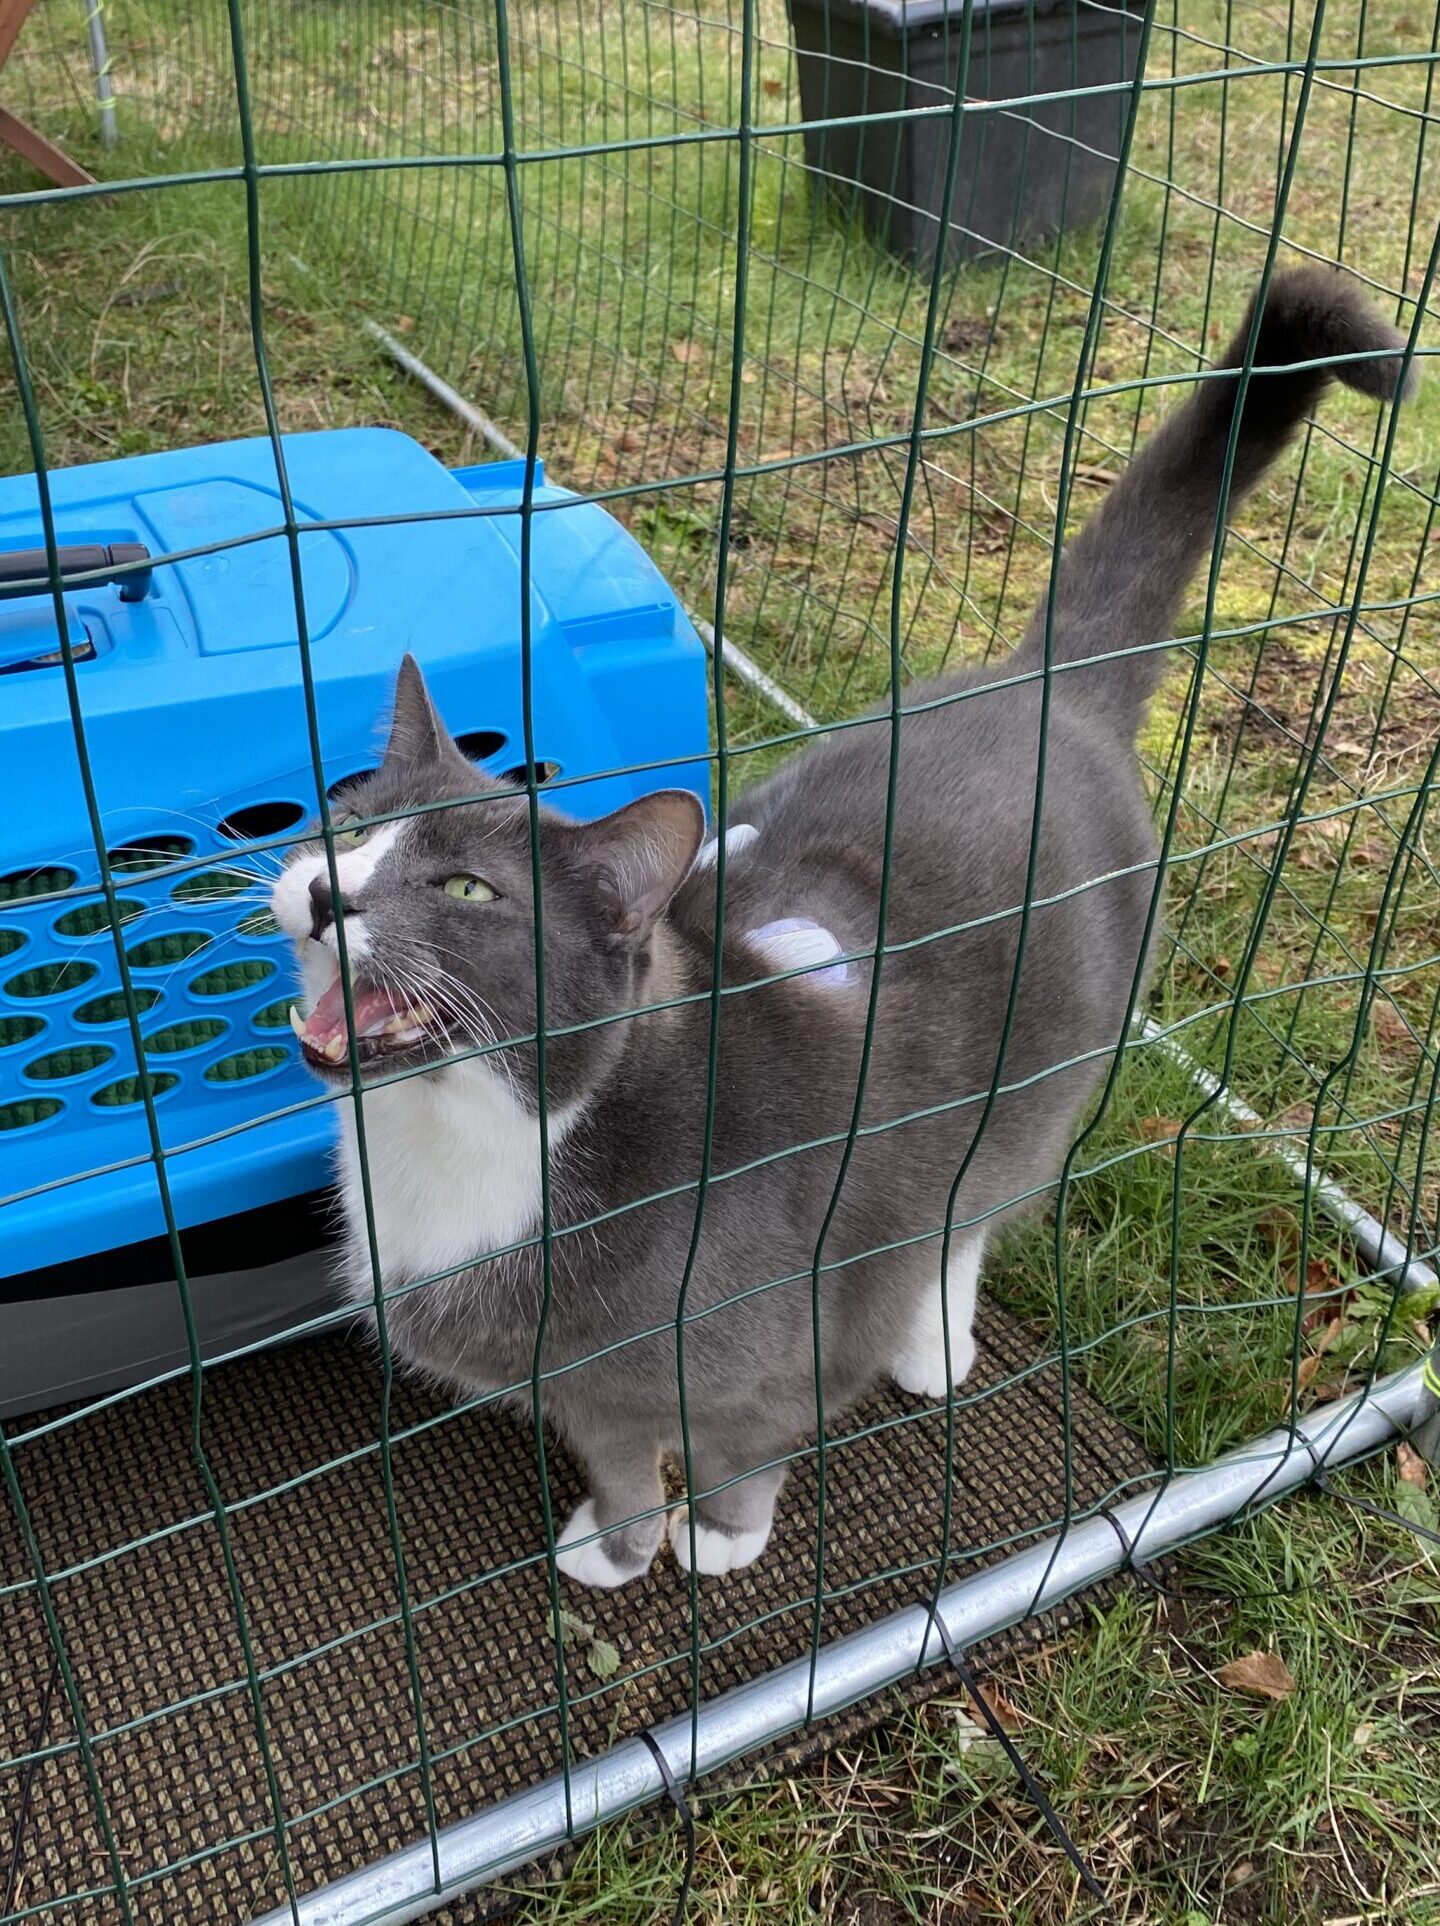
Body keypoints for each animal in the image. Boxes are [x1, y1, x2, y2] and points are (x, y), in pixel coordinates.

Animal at [273, 275, 1416, 1594]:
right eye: (348, 821)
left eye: (466, 892)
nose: (326, 890)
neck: (476, 1145)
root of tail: (1047, 688)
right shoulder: (586, 1392)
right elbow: (617, 1456)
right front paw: (613, 1549)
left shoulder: (771, 1366)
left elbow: (738, 1450)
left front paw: (719, 1542)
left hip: (1048, 1083)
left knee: (974, 1206)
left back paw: (932, 1339)